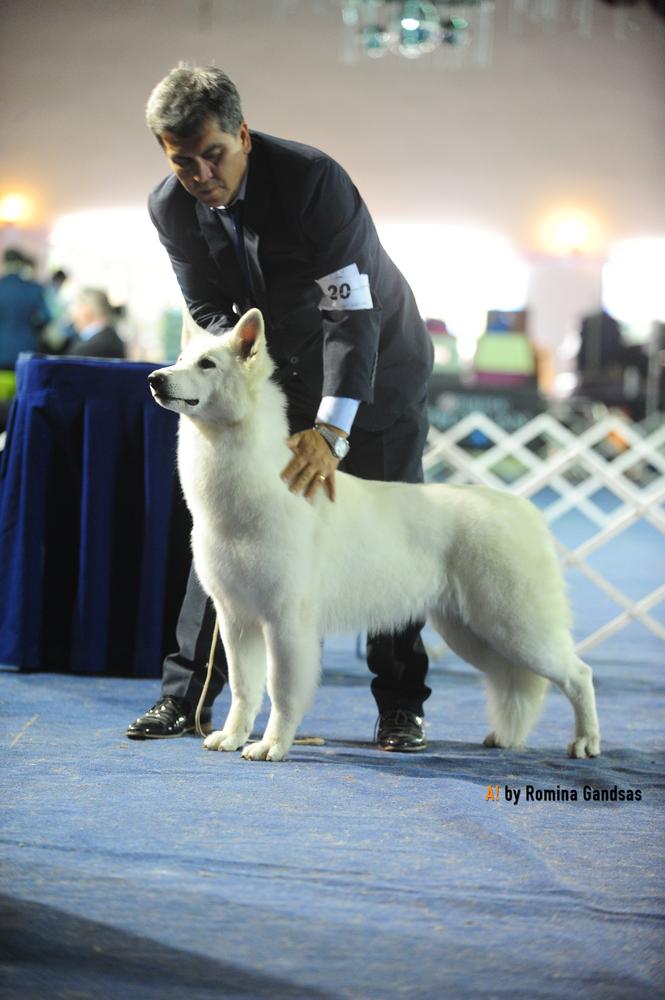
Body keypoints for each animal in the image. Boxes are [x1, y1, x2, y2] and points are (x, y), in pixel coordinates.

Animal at [148, 308, 600, 760]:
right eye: (181, 359)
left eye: (207, 364)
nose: (155, 378)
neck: (253, 487)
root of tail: (525, 510)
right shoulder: (235, 619)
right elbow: (244, 688)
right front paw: (232, 737)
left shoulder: (285, 621)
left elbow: (280, 689)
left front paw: (272, 746)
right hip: (472, 633)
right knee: (514, 678)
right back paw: (505, 737)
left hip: (516, 627)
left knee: (579, 673)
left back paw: (585, 741)